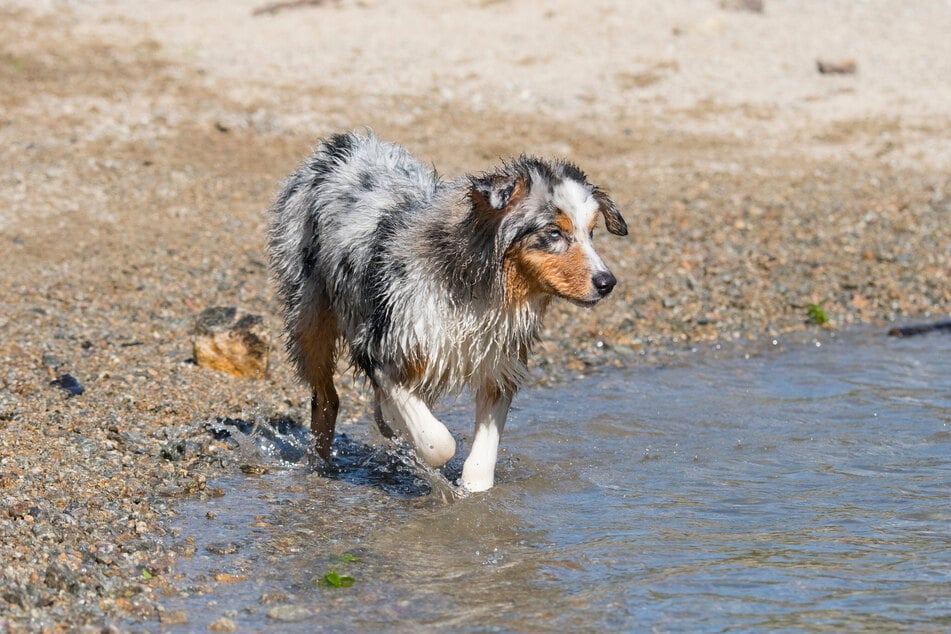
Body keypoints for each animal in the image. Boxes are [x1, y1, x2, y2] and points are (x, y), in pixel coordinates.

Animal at [266, 131, 624, 492]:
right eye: (554, 233)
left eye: (591, 232)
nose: (607, 282)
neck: (476, 290)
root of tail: (345, 142)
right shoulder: (378, 346)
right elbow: (438, 443)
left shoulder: (498, 366)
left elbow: (480, 463)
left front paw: (472, 491)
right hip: (309, 318)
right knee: (326, 398)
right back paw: (317, 464)